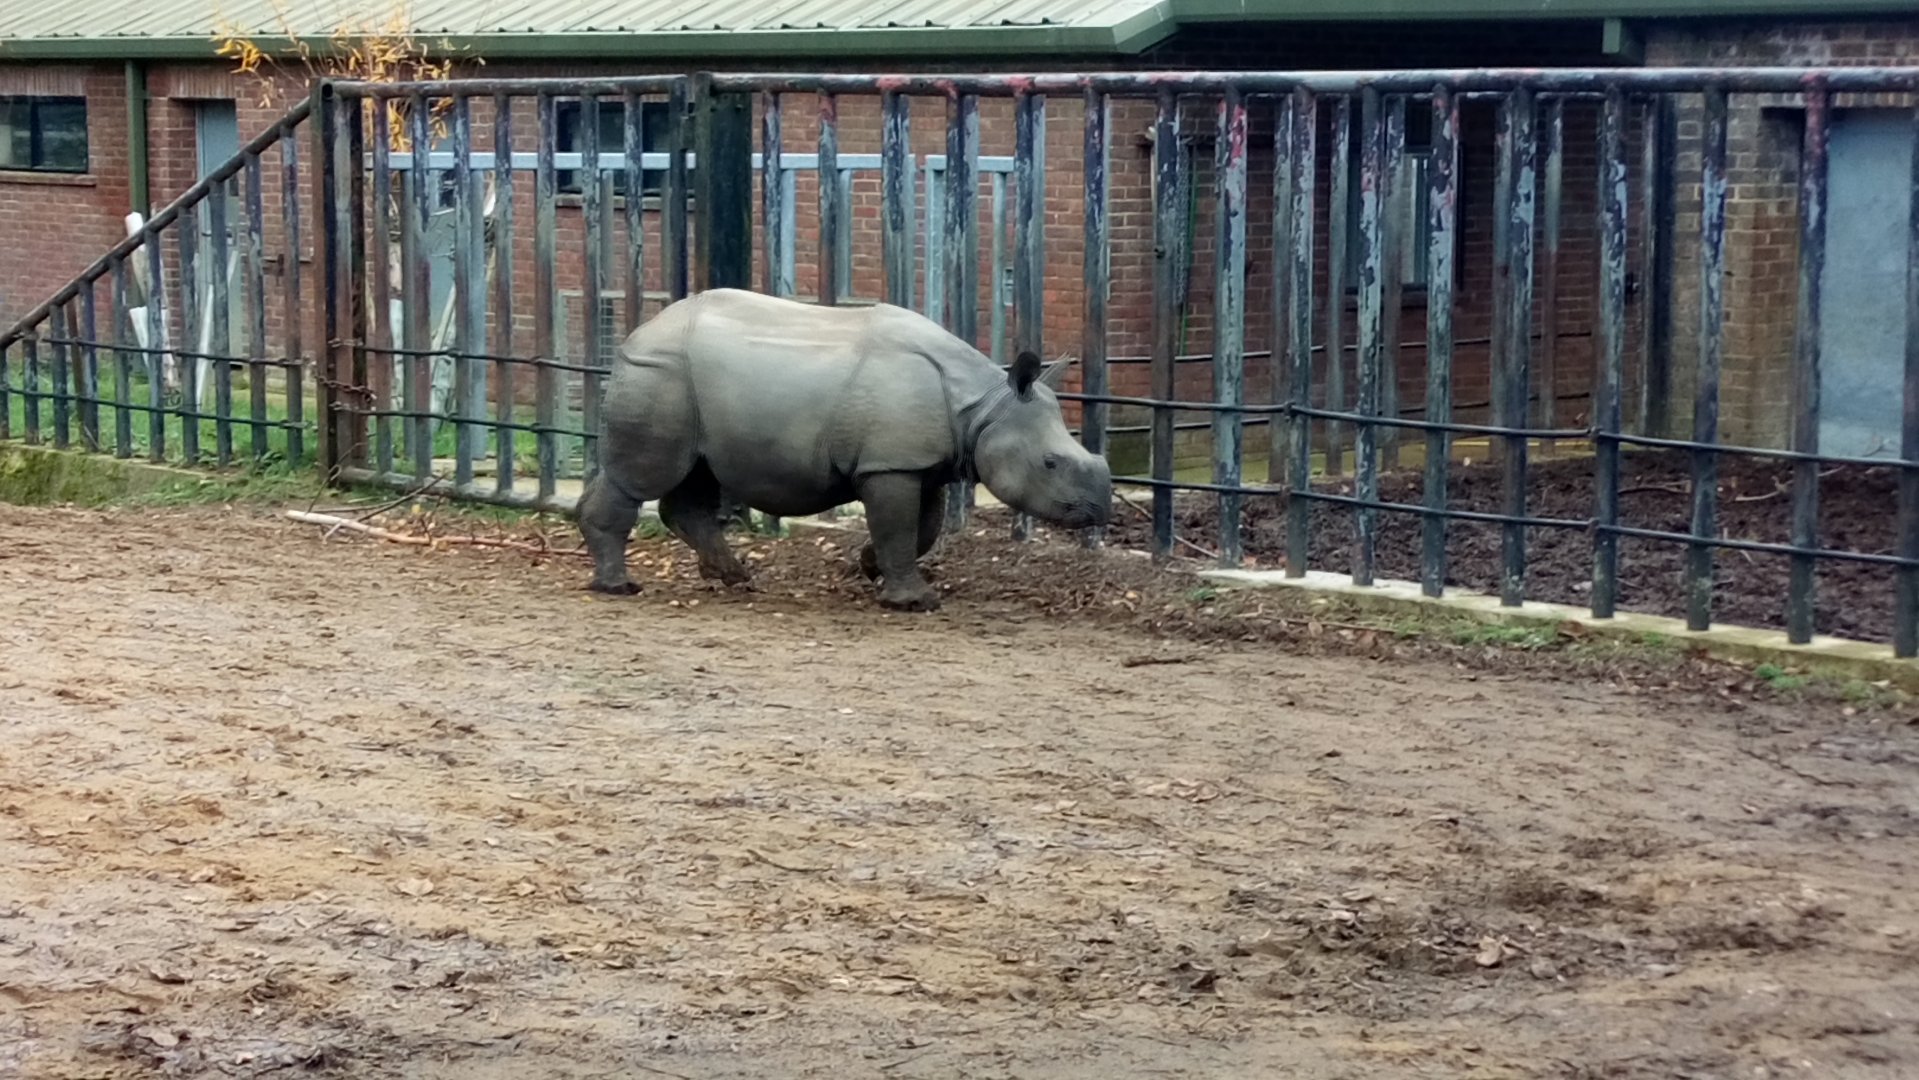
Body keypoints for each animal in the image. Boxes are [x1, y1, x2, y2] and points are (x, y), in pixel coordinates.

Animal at [577, 288, 1113, 611]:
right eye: (1050, 462)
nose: (1101, 511)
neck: (982, 407)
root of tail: (638, 333)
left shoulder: (919, 463)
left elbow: (920, 529)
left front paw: (870, 566)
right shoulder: (890, 464)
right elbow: (899, 526)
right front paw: (915, 602)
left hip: (685, 382)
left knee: (696, 476)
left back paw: (734, 578)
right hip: (660, 372)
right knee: (641, 478)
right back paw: (618, 587)